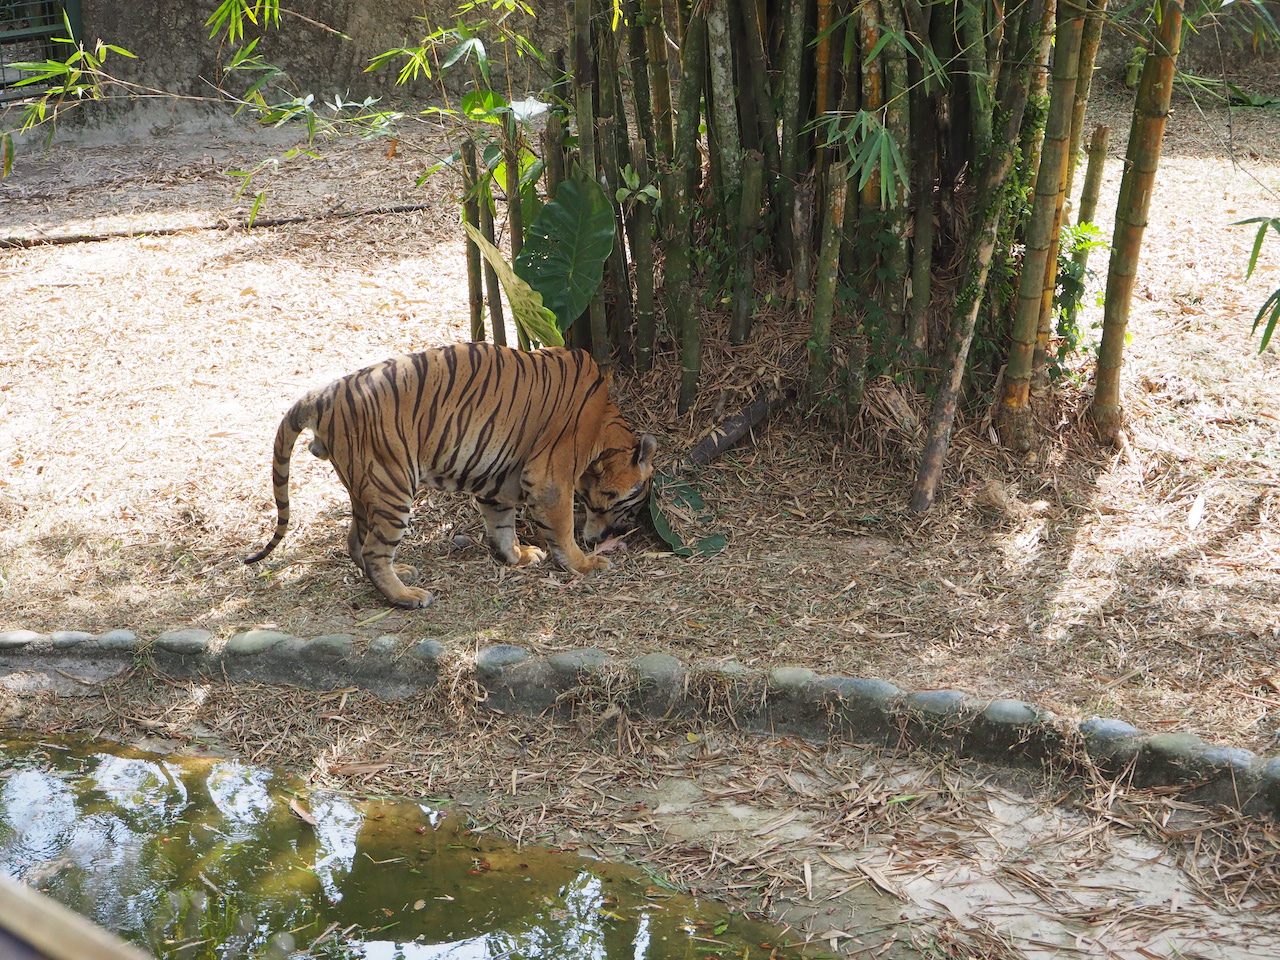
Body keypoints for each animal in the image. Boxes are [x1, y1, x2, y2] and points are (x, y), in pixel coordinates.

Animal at [244, 343, 655, 609]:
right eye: (621, 505)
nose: (600, 538)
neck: (605, 429)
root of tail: (325, 394)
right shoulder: (550, 478)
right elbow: (563, 527)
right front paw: (585, 563)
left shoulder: (498, 480)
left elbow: (501, 525)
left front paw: (519, 555)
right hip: (392, 485)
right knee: (375, 549)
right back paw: (408, 597)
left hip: (364, 488)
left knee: (354, 541)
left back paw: (401, 573)